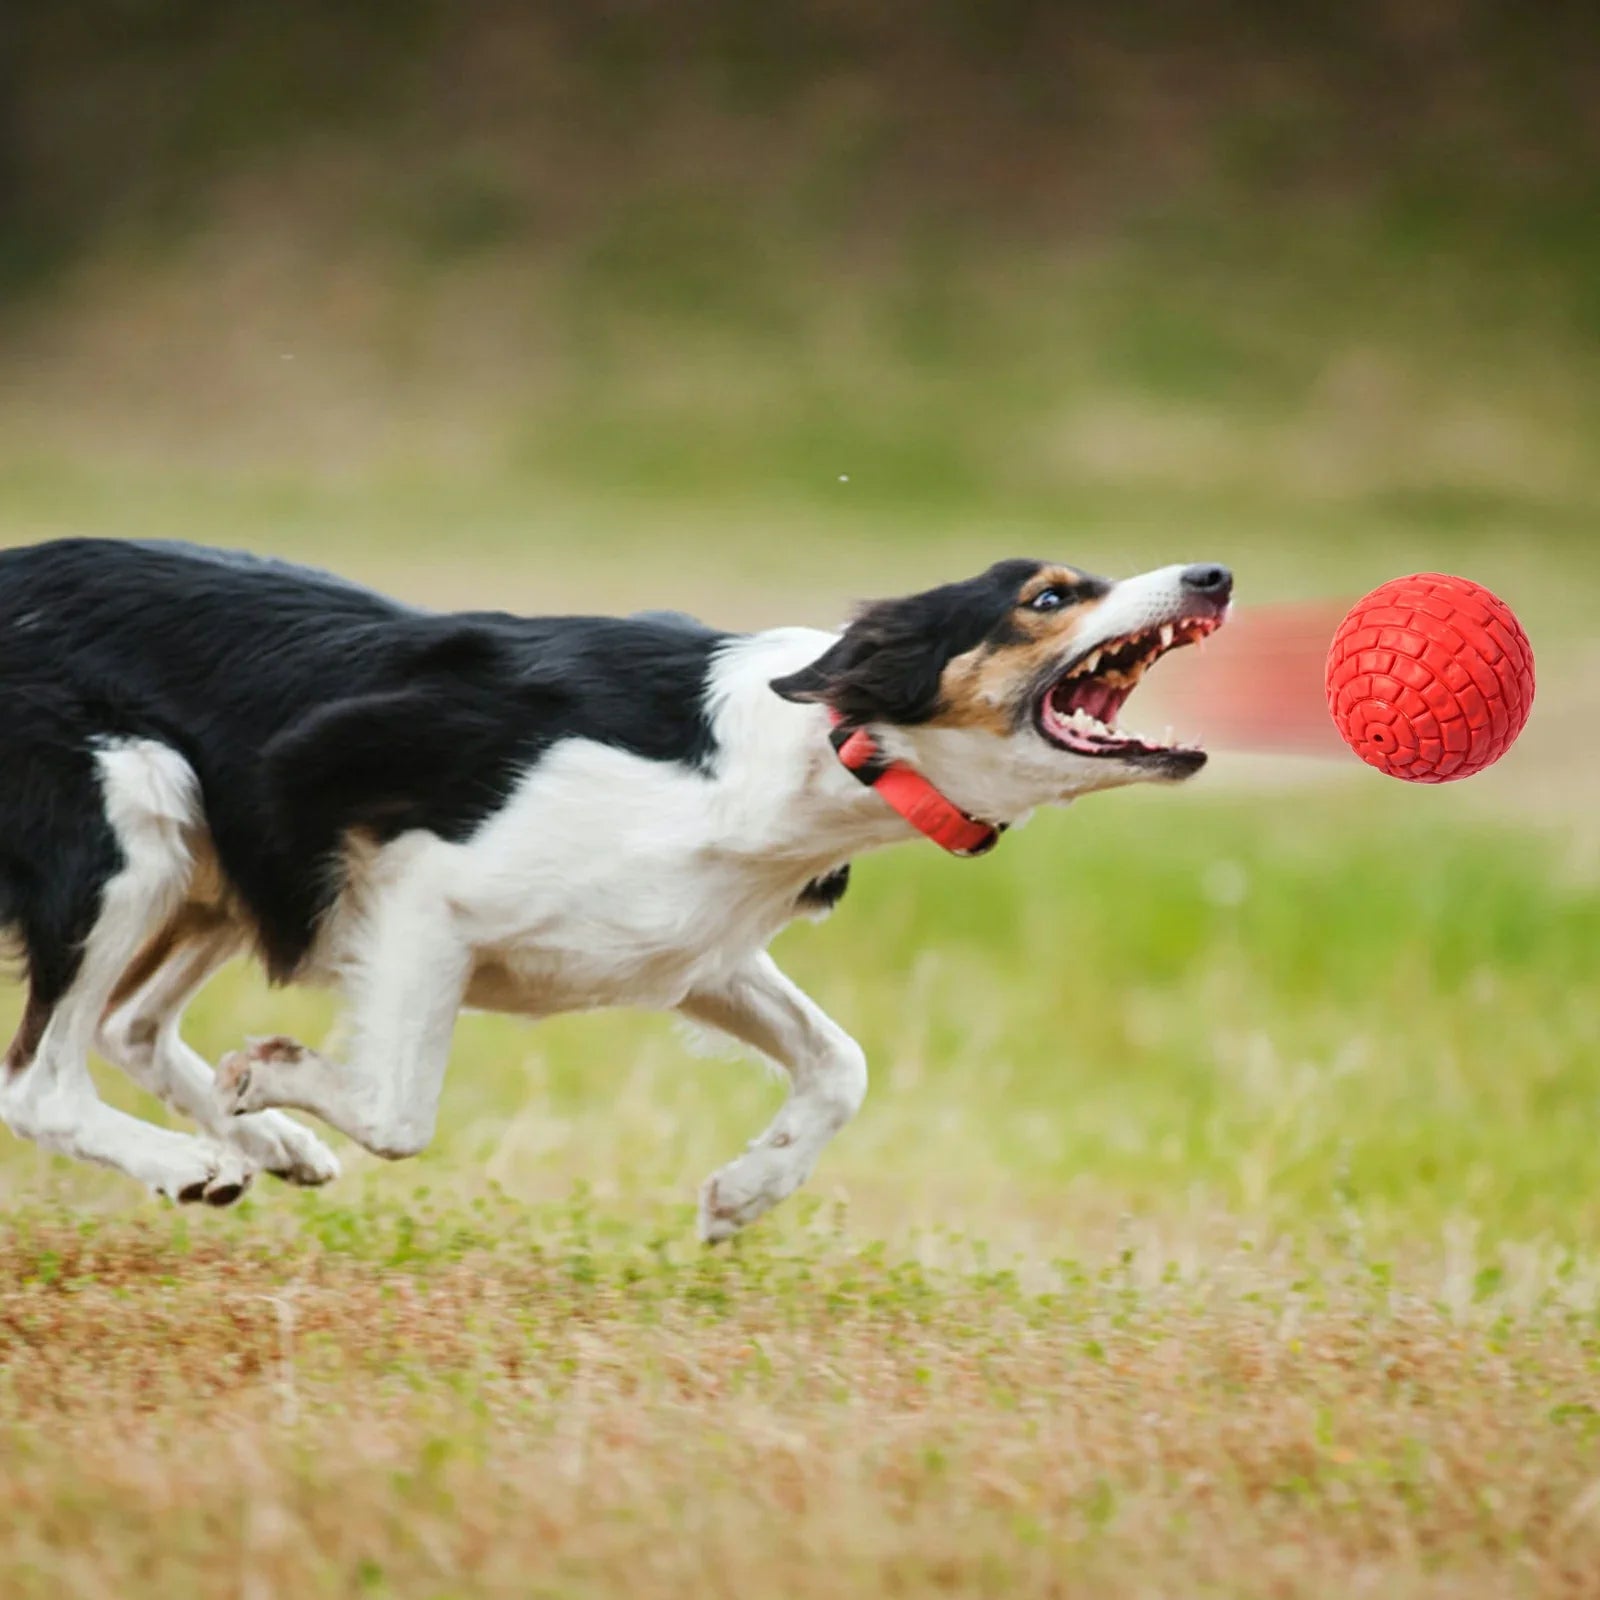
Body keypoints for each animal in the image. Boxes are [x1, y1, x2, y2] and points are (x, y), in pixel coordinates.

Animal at [0, 537, 1235, 1235]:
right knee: (42, 1079)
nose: (1215, 574)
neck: (816, 748)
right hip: (137, 810)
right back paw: (198, 1161)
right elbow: (400, 1113)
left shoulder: (685, 947)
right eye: (1048, 598)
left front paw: (746, 1193)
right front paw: (276, 1069)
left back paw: (263, 1146)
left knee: (127, 1023)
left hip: (217, 848)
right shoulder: (427, 896)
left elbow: (841, 1063)